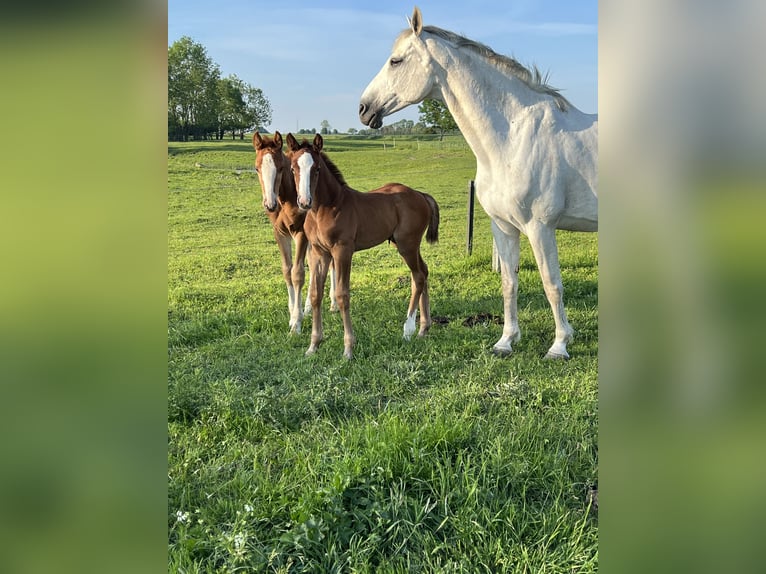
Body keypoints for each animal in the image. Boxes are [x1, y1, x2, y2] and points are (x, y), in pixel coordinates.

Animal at [360, 6, 600, 360]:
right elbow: (509, 283)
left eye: (396, 61)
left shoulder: (540, 227)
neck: (513, 135)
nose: (364, 109)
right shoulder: (504, 226)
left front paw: (559, 345)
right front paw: (506, 341)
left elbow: (551, 283)